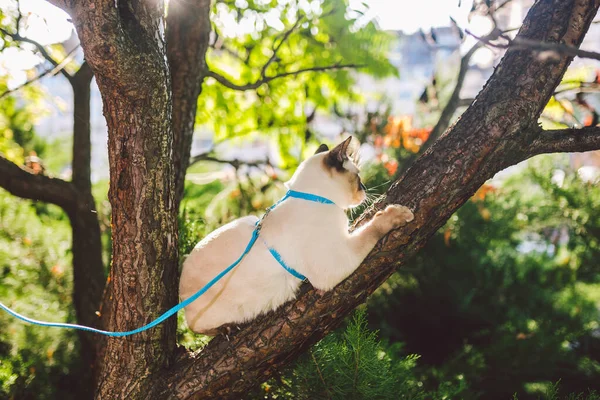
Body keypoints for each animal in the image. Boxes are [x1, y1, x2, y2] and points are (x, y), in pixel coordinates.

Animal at [178, 138, 412, 334]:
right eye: (358, 178)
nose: (364, 188)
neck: (317, 199)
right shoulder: (335, 264)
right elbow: (372, 228)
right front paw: (398, 214)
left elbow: (364, 225)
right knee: (195, 328)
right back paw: (226, 329)